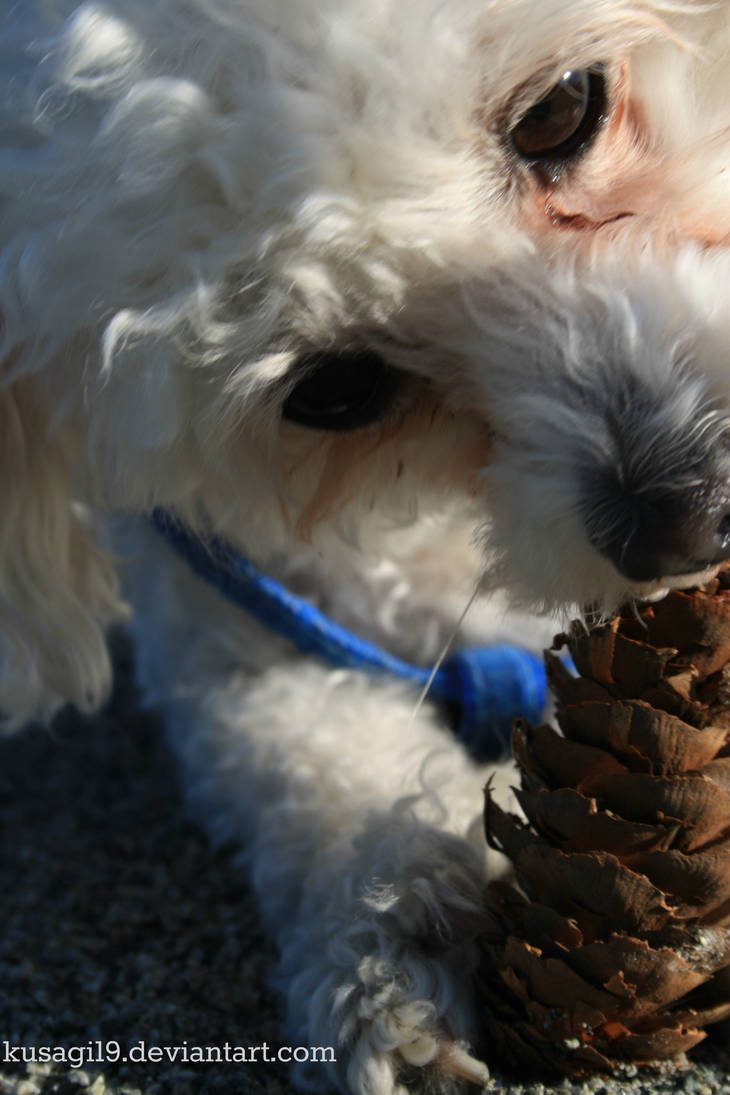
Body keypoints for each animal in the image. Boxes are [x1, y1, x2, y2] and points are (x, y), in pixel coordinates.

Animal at [1, 0, 730, 1090]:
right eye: (336, 390)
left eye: (561, 110)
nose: (685, 514)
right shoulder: (234, 645)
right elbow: (318, 763)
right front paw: (392, 947)